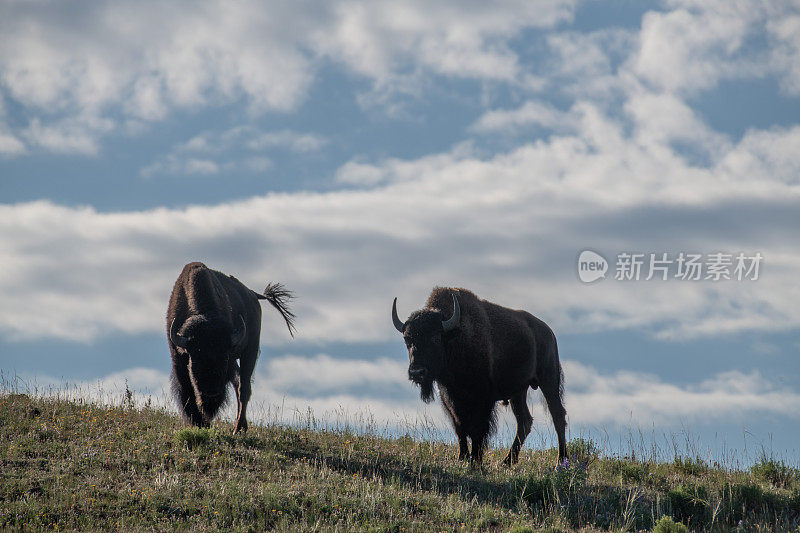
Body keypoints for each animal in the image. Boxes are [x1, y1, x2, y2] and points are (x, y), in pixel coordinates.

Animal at [167, 262, 296, 432]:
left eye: (224, 358)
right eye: (195, 359)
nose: (211, 396)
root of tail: (253, 294)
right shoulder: (178, 355)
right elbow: (186, 391)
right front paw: (200, 423)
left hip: (250, 351)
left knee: (243, 387)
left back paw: (238, 428)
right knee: (238, 383)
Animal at [390, 284, 564, 464]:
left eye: (435, 337)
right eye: (408, 339)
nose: (417, 372)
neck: (455, 337)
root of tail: (549, 332)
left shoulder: (484, 398)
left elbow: (478, 428)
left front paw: (476, 459)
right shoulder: (449, 397)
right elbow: (459, 426)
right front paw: (462, 457)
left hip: (548, 380)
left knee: (557, 415)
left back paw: (560, 461)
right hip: (518, 392)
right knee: (524, 421)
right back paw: (507, 461)